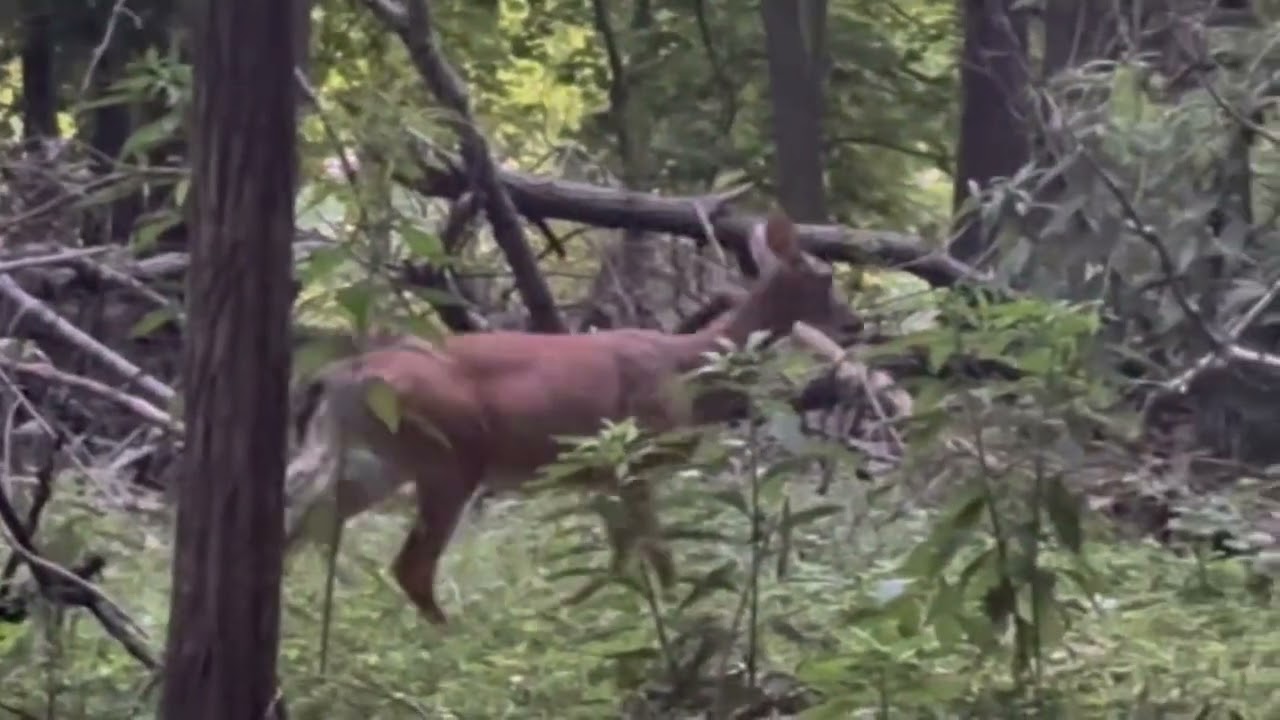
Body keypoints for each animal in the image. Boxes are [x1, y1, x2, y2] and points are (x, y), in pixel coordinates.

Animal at [283, 211, 862, 625]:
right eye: (827, 279)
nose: (857, 323)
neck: (690, 368)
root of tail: (338, 375)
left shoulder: (605, 474)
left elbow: (620, 560)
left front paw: (593, 615)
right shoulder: (637, 457)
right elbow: (658, 554)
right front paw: (674, 617)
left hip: (370, 457)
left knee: (304, 516)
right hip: (450, 452)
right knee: (410, 564)